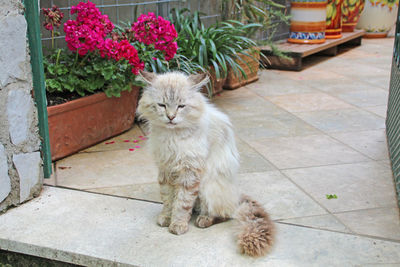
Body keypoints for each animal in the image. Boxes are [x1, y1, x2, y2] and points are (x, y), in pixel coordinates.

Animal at [138, 71, 276, 258]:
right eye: (162, 105)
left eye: (181, 106)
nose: (171, 117)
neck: (172, 136)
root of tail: (236, 195)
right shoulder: (165, 170)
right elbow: (168, 200)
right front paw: (166, 218)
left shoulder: (189, 172)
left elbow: (181, 203)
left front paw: (177, 226)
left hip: (207, 185)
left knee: (223, 213)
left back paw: (203, 220)